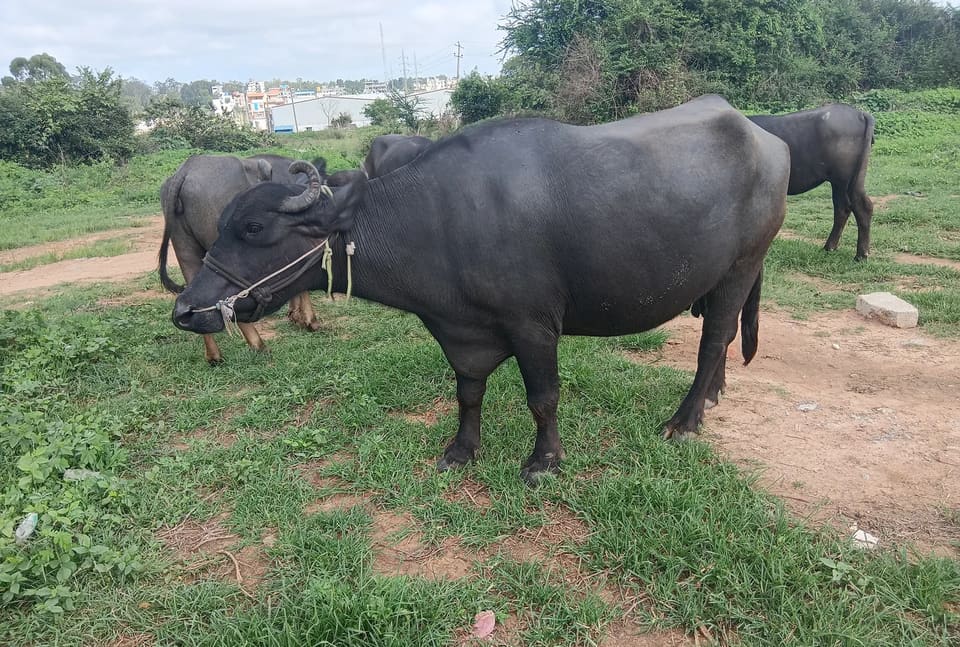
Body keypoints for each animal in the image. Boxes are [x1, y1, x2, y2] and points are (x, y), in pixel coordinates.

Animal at [172, 95, 790, 484]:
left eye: (254, 228)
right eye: (224, 222)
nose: (186, 309)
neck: (439, 221)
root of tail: (766, 140)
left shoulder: (533, 325)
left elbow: (543, 397)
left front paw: (543, 462)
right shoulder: (462, 330)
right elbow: (468, 392)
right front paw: (461, 450)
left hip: (742, 265)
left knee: (714, 339)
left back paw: (685, 420)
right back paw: (711, 400)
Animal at [748, 104, 875, 260]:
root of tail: (860, 114)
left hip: (848, 180)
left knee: (862, 207)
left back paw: (861, 254)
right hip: (839, 183)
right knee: (842, 208)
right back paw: (829, 247)